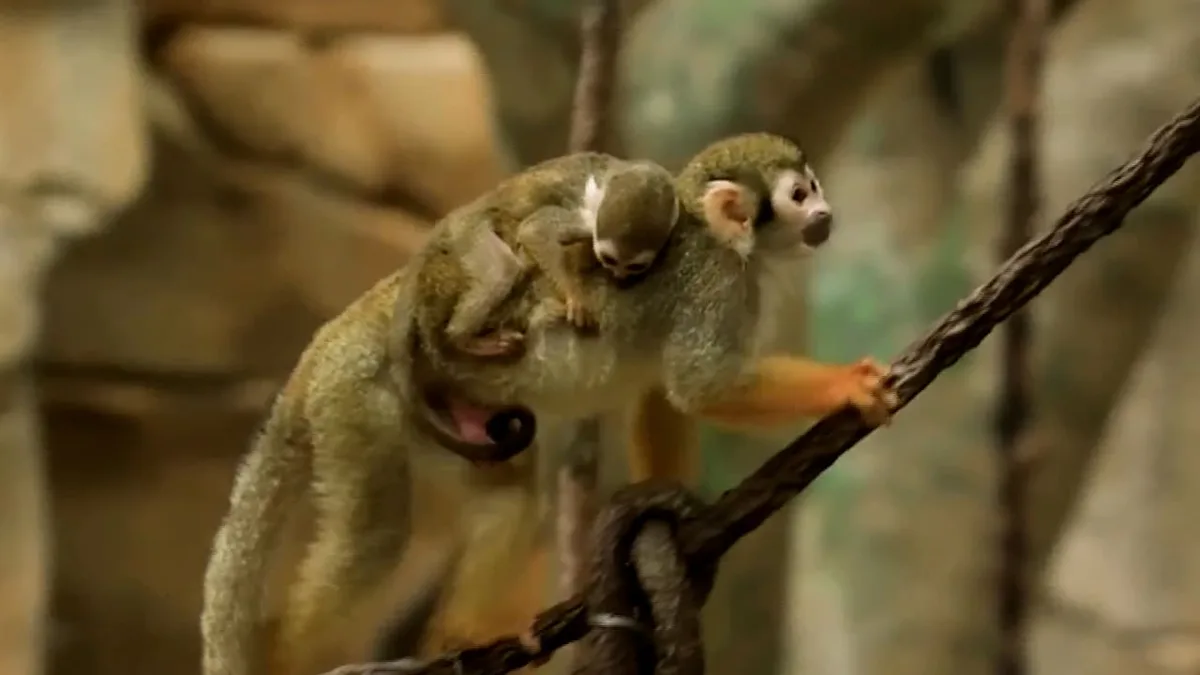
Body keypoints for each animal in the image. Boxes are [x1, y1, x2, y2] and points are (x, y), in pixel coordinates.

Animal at [418, 151, 680, 360]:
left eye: (634, 267)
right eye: (610, 260)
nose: (619, 275)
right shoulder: (587, 219)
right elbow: (534, 231)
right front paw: (574, 295)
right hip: (467, 231)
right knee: (502, 269)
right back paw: (462, 339)